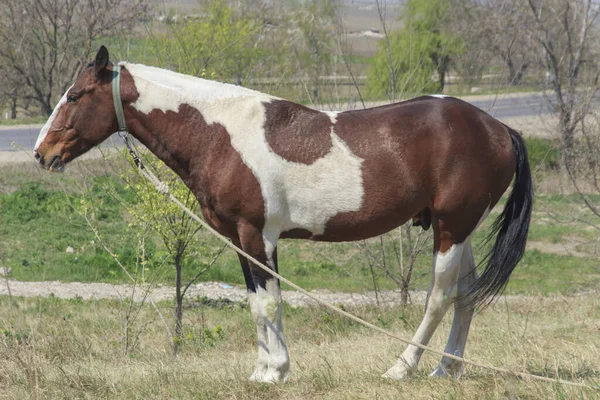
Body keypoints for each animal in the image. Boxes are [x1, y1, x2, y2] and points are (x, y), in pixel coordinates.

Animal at [35, 46, 532, 382]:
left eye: (75, 95)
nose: (42, 153)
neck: (219, 133)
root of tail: (498, 128)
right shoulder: (238, 239)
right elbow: (256, 303)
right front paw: (261, 370)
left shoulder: (258, 235)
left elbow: (271, 300)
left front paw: (278, 370)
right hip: (459, 229)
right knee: (466, 295)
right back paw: (447, 369)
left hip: (451, 227)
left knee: (439, 297)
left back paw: (402, 367)